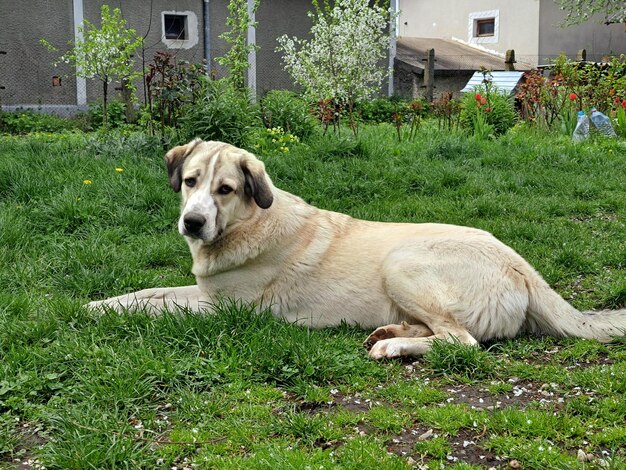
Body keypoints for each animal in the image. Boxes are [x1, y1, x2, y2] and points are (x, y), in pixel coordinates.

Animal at [88, 138, 624, 358]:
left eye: (225, 190)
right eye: (191, 181)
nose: (193, 222)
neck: (248, 224)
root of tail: (521, 265)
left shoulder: (221, 309)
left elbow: (155, 307)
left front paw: (102, 311)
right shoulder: (202, 291)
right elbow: (146, 293)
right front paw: (98, 303)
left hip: (403, 261)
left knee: (462, 341)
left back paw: (392, 345)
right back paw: (390, 330)